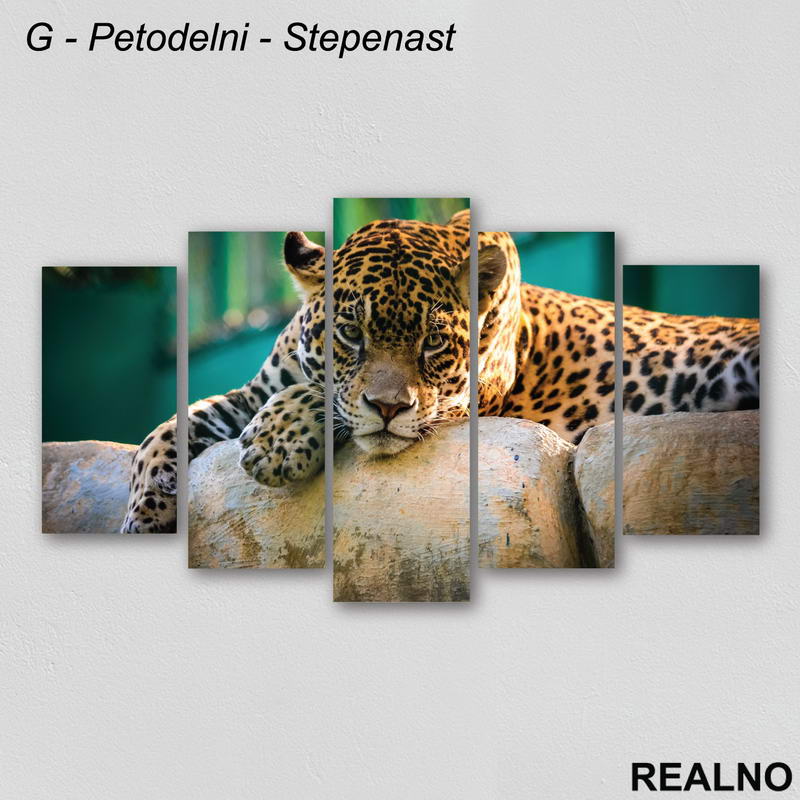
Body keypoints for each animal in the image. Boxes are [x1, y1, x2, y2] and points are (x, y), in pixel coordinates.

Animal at [121, 212, 759, 533]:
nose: (388, 408)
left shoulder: (464, 401)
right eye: (350, 333)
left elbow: (326, 400)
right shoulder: (252, 390)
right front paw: (146, 514)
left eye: (433, 342)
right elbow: (168, 426)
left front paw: (277, 442)